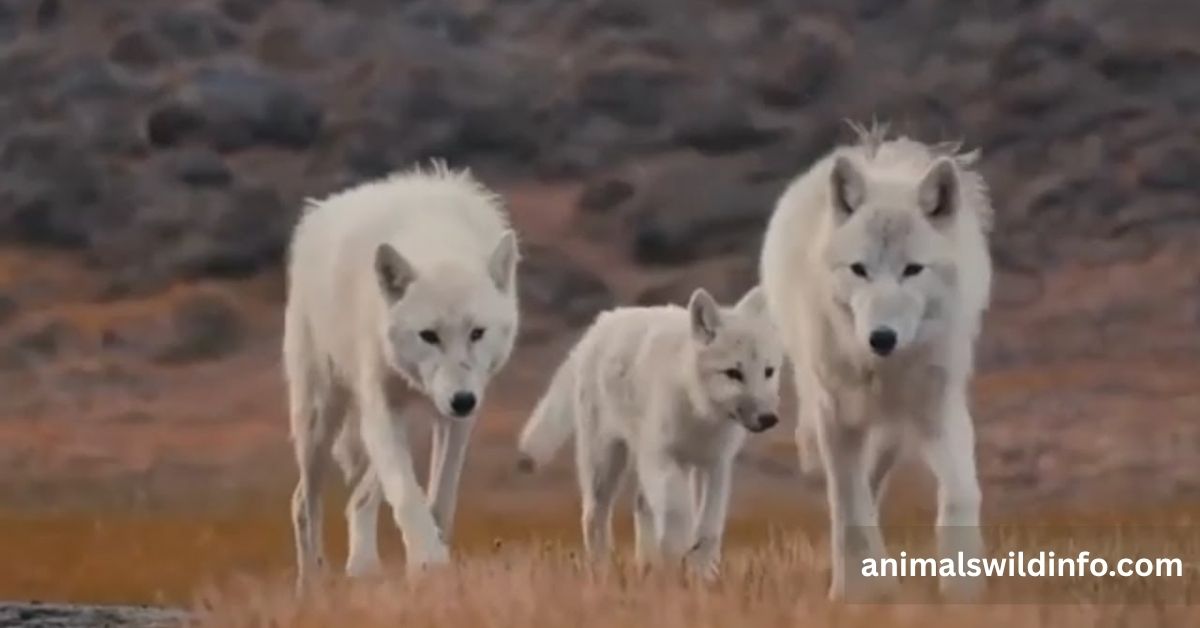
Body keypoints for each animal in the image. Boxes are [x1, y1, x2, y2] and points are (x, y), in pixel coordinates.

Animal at [283, 161, 520, 587]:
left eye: (477, 333)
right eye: (429, 335)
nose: (462, 400)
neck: (436, 237)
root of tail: (319, 210)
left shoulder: (457, 419)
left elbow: (440, 499)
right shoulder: (380, 408)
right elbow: (408, 496)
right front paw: (428, 563)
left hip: (406, 419)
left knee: (359, 497)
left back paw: (362, 569)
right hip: (319, 417)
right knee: (303, 503)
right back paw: (312, 586)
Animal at [517, 286, 783, 579]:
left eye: (768, 371)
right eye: (733, 373)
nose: (769, 418)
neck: (699, 412)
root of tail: (599, 325)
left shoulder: (716, 464)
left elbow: (709, 526)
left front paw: (702, 573)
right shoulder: (661, 457)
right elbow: (679, 515)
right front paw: (680, 560)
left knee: (641, 504)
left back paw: (647, 566)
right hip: (606, 463)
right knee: (594, 516)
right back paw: (603, 572)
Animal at [759, 122, 993, 600]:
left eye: (913, 269)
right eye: (859, 269)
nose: (881, 338)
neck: (885, 370)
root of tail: (877, 154)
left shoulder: (939, 409)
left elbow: (962, 493)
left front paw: (963, 590)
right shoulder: (837, 414)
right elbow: (849, 509)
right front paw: (853, 594)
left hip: (892, 434)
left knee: (873, 478)